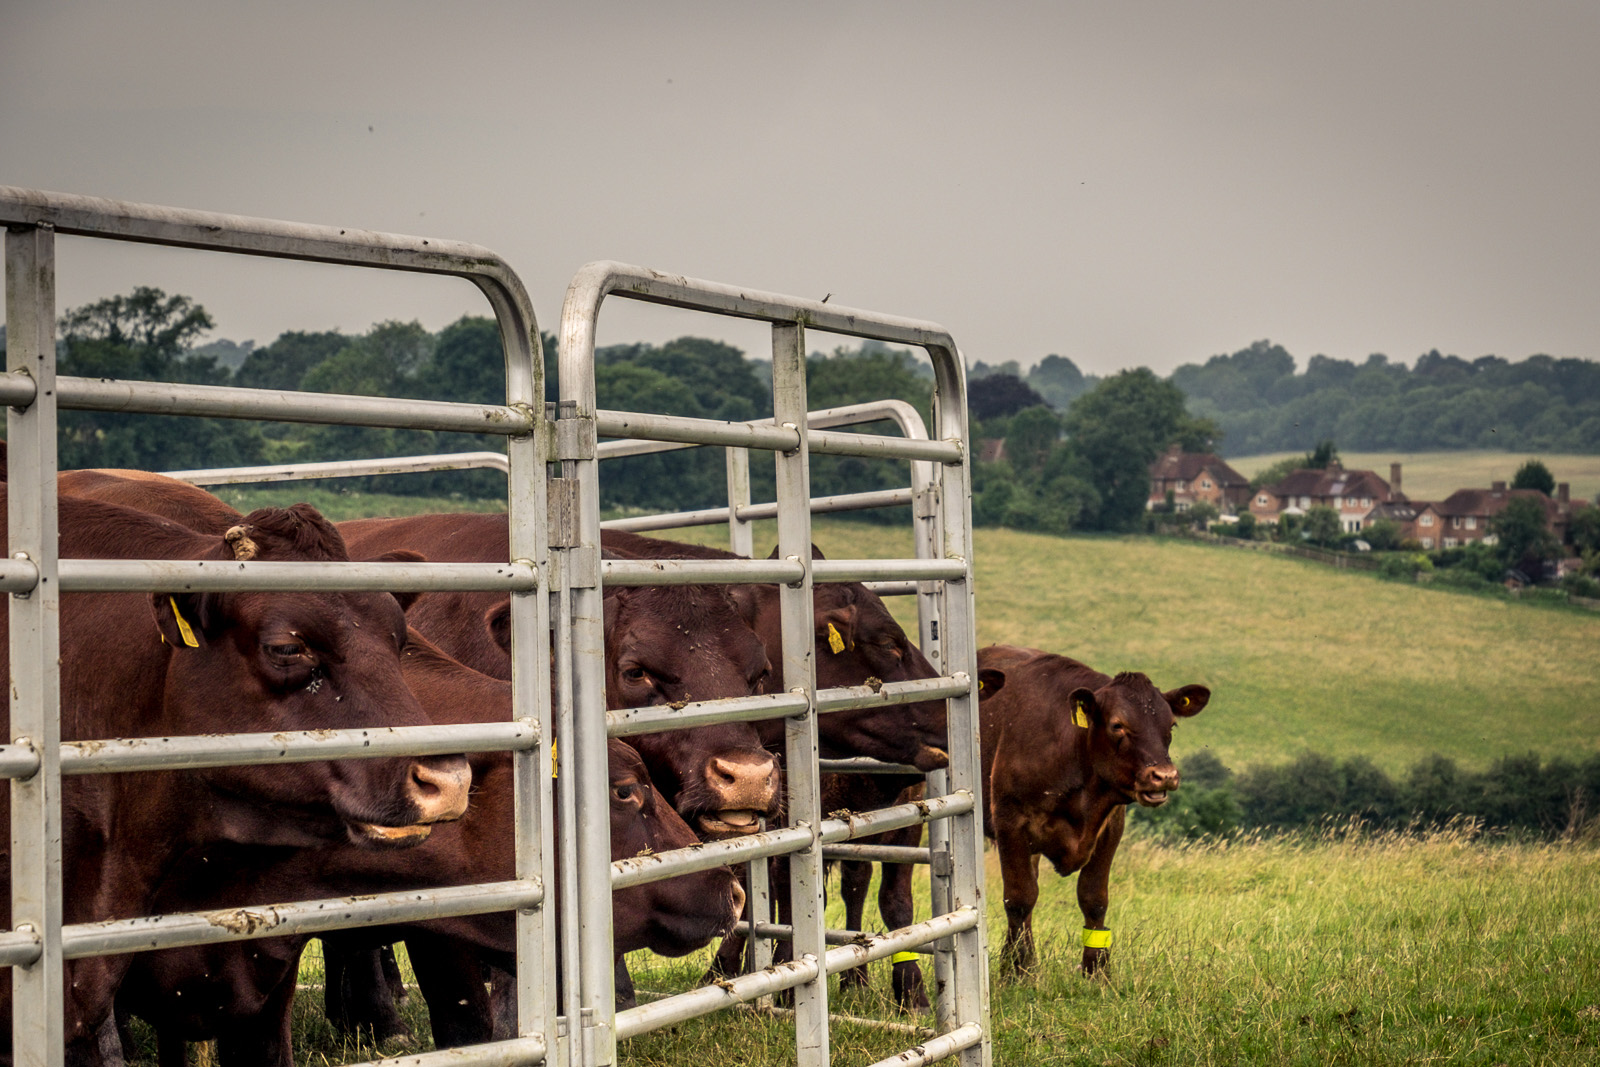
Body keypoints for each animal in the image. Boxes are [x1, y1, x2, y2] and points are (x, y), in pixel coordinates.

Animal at [972, 643, 1209, 979]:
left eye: (1171, 725)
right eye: (1117, 725)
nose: (1164, 775)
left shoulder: (1110, 827)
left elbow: (1093, 898)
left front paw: (1096, 970)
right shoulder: (1010, 822)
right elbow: (1019, 898)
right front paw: (1017, 972)